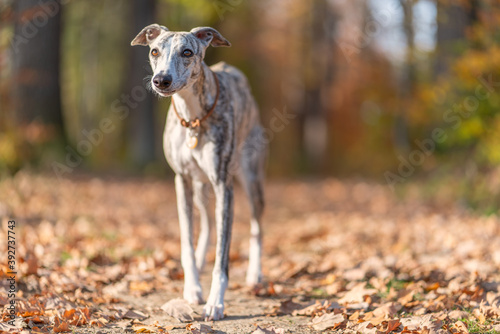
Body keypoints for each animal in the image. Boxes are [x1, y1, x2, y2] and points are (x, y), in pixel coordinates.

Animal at [131, 24, 268, 320]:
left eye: (187, 52)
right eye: (154, 51)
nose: (161, 80)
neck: (192, 117)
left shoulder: (224, 186)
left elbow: (223, 256)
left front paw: (216, 302)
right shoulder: (181, 182)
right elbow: (187, 241)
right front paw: (192, 287)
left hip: (251, 179)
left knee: (256, 229)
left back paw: (255, 274)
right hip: (200, 188)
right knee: (207, 221)